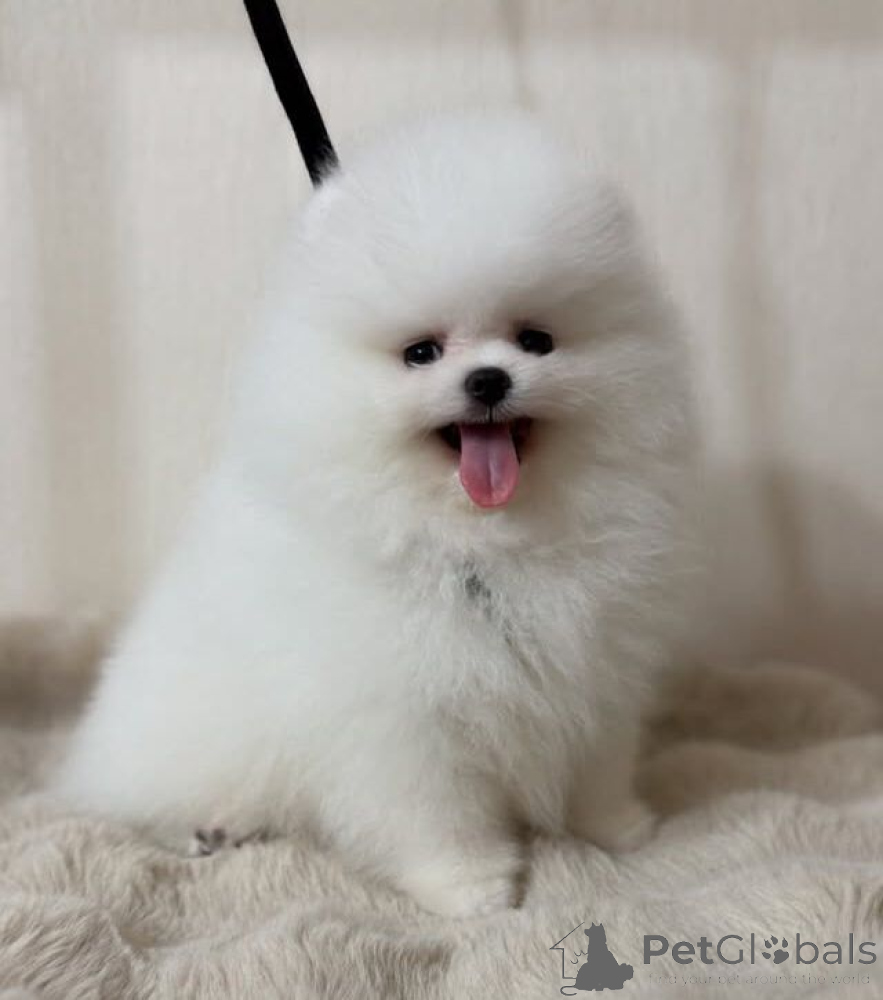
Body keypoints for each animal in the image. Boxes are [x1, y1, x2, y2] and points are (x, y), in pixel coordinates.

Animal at [55, 111, 695, 916]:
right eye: (421, 353)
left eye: (536, 340)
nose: (488, 378)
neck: (482, 543)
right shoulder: (401, 719)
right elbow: (435, 812)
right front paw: (471, 887)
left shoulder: (596, 670)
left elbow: (599, 762)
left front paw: (617, 826)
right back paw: (206, 829)